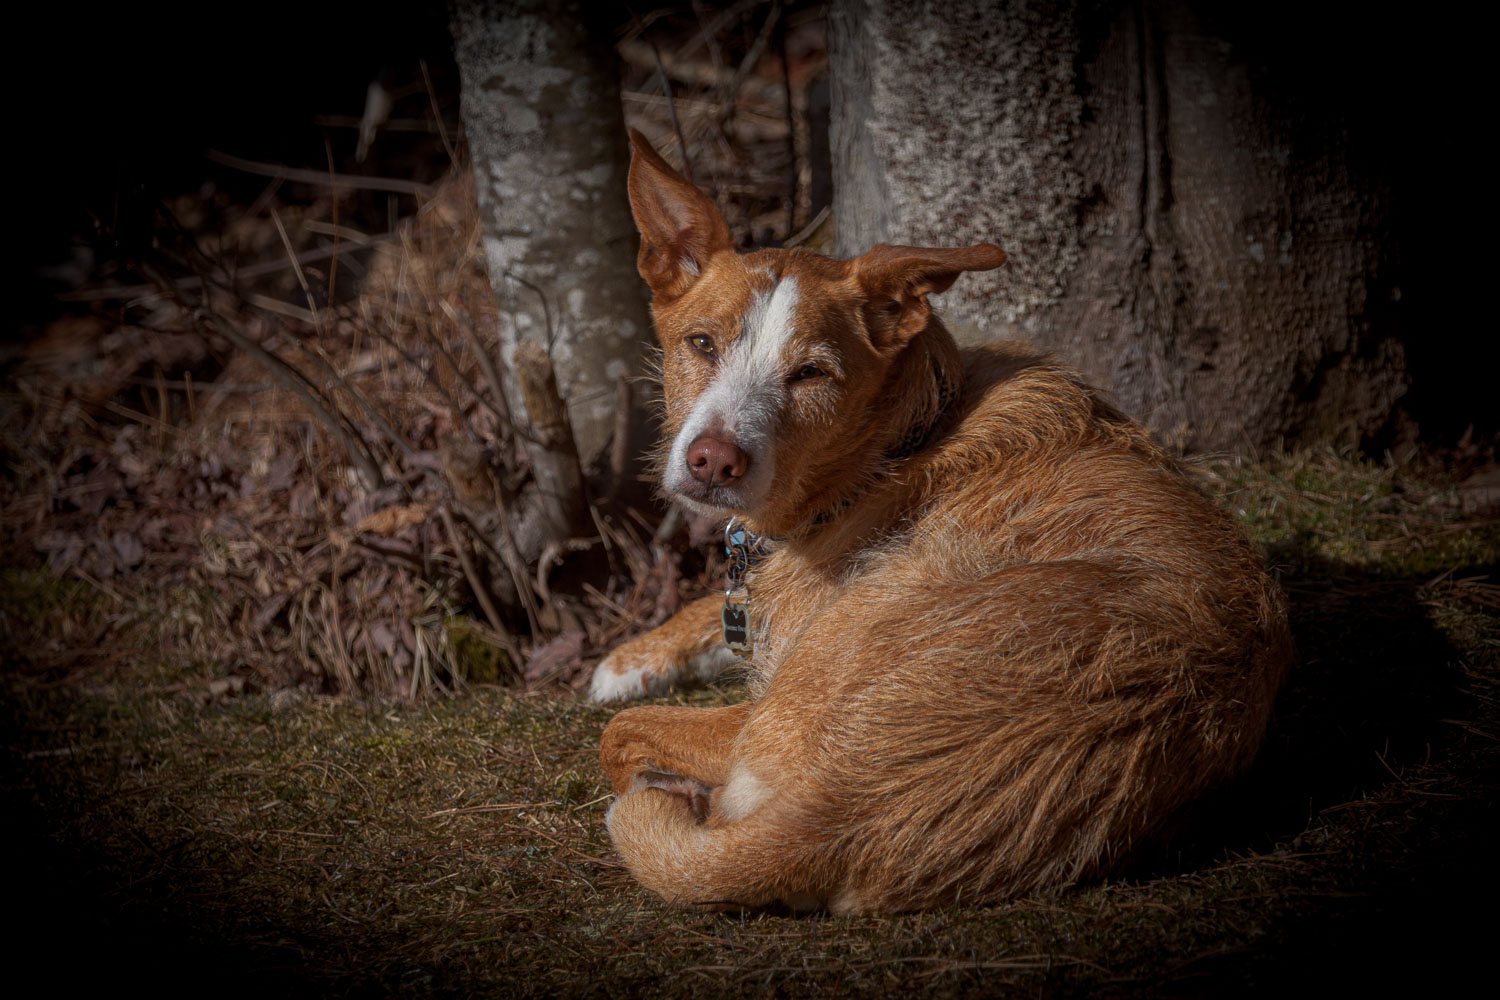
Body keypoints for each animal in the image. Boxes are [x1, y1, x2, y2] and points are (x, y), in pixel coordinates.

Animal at [585, 132, 1290, 917]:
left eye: (811, 374)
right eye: (702, 344)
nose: (712, 461)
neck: (899, 444)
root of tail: (842, 817)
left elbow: (624, 728)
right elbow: (717, 609)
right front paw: (632, 658)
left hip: (783, 703)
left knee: (635, 746)